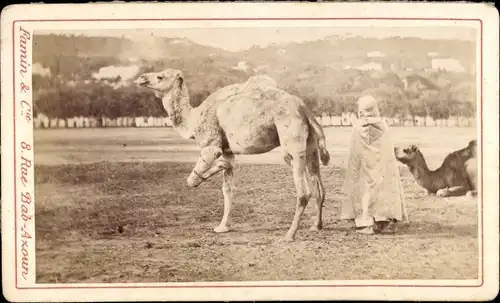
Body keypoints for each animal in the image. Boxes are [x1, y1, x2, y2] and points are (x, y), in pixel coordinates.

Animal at [135, 69, 332, 242]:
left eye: (160, 76)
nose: (141, 78)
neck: (194, 118)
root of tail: (305, 109)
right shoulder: (228, 151)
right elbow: (228, 189)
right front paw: (223, 227)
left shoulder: (211, 144)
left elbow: (191, 180)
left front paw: (205, 174)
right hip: (311, 145)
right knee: (318, 186)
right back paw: (316, 225)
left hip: (291, 140)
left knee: (303, 191)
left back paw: (289, 235)